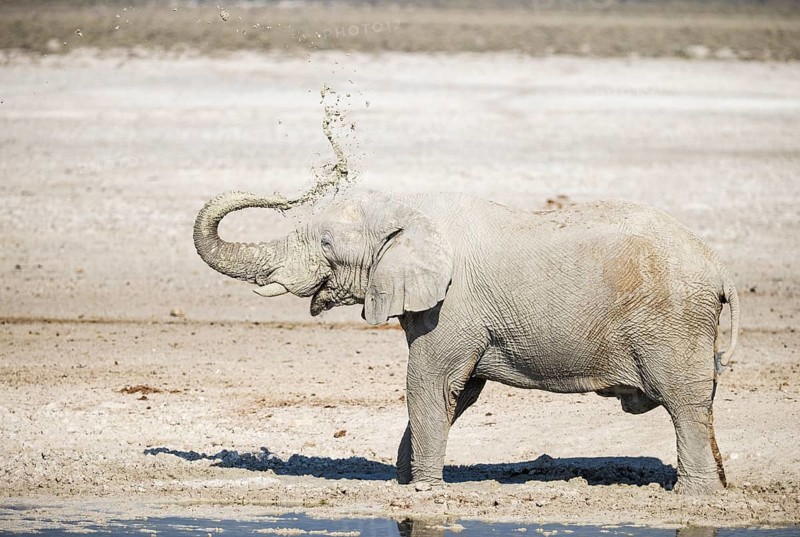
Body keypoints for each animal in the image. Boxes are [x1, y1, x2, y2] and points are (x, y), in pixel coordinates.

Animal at [194, 190, 739, 494]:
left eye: (326, 245)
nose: (285, 198)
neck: (410, 207)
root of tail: (719, 268)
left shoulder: (453, 306)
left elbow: (430, 385)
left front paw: (424, 490)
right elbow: (456, 395)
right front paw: (405, 482)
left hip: (672, 322)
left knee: (684, 402)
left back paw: (693, 498)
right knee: (702, 402)